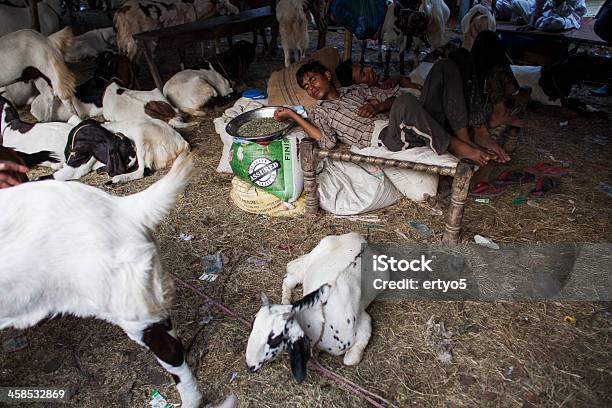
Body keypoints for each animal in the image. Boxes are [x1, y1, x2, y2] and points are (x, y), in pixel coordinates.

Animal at [245, 233, 384, 382]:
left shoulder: (365, 324)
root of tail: (359, 238)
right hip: (308, 263)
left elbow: (350, 360)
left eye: (275, 339)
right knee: (289, 274)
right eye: (253, 324)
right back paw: (285, 298)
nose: (249, 365)